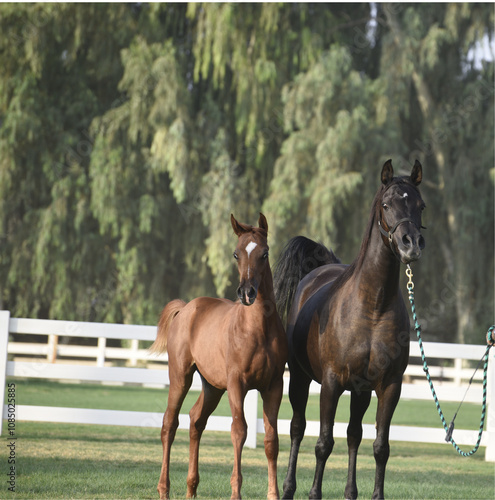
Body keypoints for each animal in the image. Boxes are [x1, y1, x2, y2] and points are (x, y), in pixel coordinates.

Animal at [153, 214, 288, 500]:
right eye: (236, 253)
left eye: (265, 253)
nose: (247, 293)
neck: (257, 329)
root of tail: (186, 308)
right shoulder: (237, 383)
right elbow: (239, 430)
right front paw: (236, 492)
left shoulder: (274, 386)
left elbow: (271, 439)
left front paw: (273, 494)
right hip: (180, 376)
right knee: (169, 423)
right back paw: (164, 489)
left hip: (212, 386)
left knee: (196, 420)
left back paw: (191, 488)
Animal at [276, 161, 426, 500]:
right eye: (387, 205)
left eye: (420, 205)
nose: (411, 244)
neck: (372, 307)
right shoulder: (331, 383)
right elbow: (323, 443)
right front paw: (314, 493)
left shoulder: (388, 387)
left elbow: (380, 447)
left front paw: (375, 495)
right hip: (300, 379)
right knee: (297, 428)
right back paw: (288, 488)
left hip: (360, 392)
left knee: (354, 435)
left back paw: (350, 491)